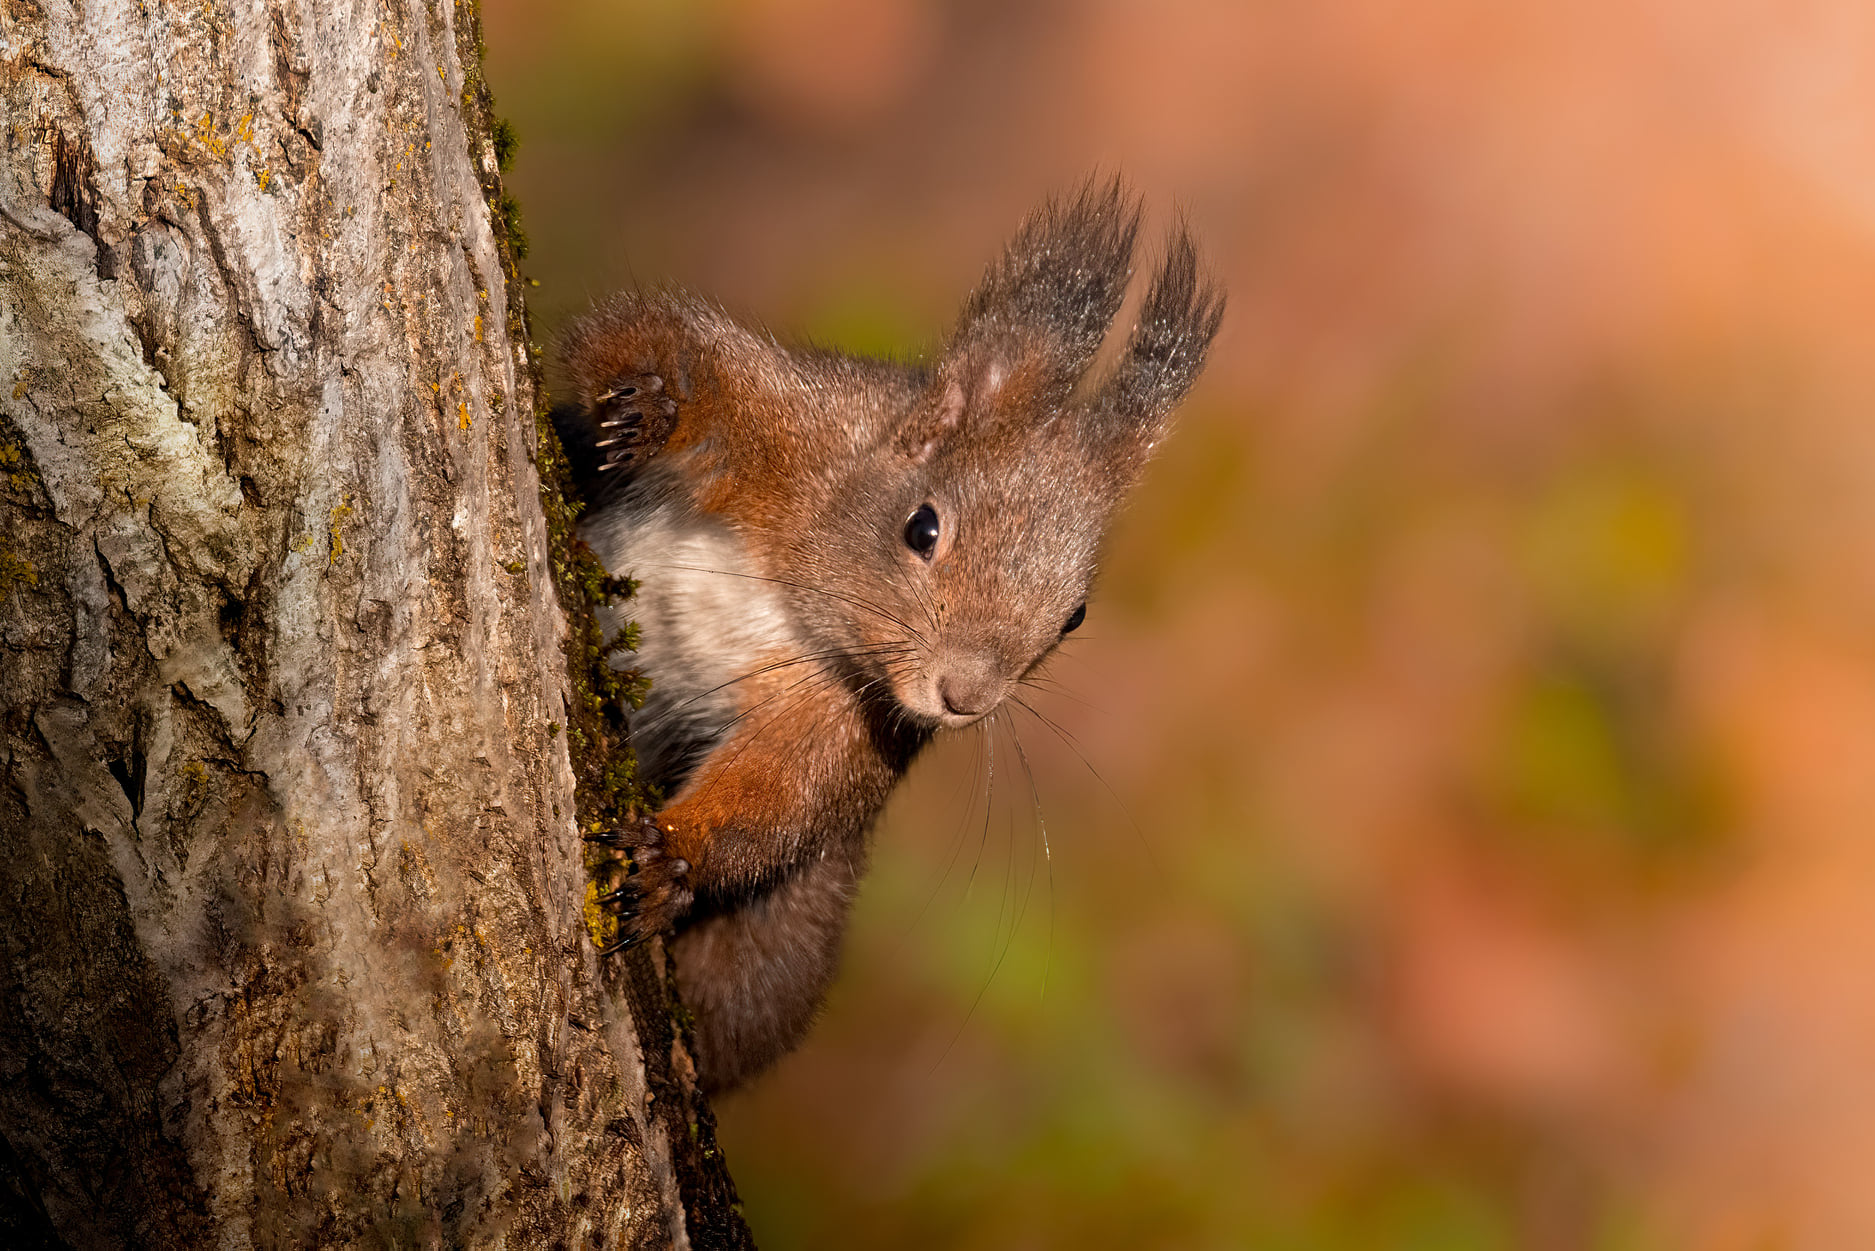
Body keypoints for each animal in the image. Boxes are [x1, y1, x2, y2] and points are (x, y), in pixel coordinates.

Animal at [552, 178, 1222, 1092]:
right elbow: (646, 335)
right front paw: (653, 404)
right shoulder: (798, 418)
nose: (963, 698)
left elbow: (783, 795)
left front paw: (671, 859)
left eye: (1074, 616)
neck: (806, 596)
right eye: (922, 527)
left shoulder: (843, 714)